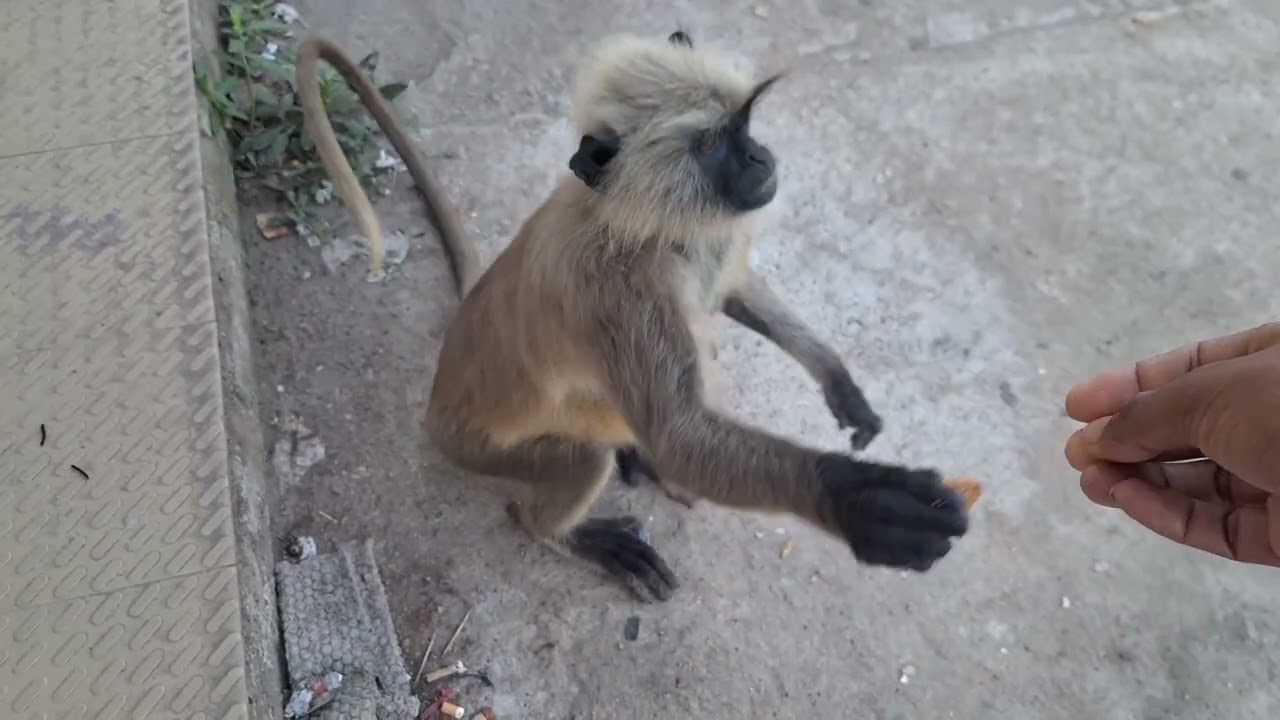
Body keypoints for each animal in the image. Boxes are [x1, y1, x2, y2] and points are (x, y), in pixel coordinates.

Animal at [296, 29, 969, 604]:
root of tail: (440, 407)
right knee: (566, 474)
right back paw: (561, 524)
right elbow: (677, 434)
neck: (647, 223)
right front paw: (860, 500)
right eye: (712, 146)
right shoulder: (622, 292)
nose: (759, 157)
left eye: (744, 128)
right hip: (483, 449)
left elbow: (729, 292)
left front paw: (838, 381)